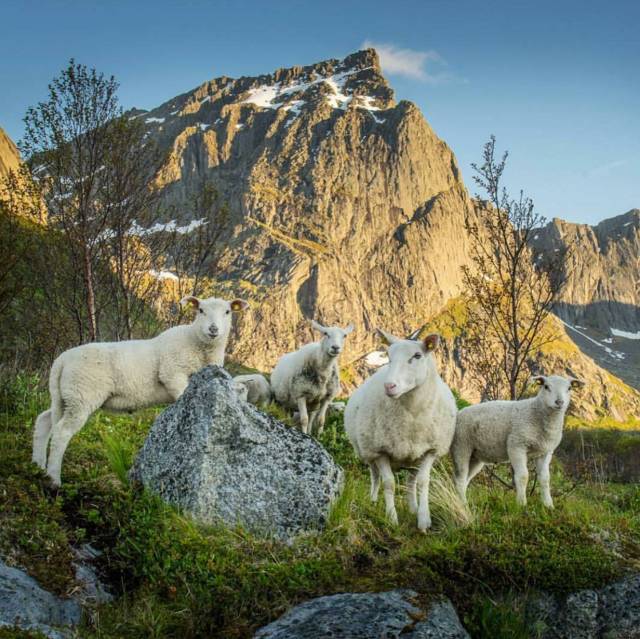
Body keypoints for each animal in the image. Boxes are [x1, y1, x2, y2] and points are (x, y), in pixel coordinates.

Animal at [31, 296, 250, 484]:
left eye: (228, 311)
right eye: (201, 310)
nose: (213, 329)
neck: (197, 344)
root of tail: (61, 360)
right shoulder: (173, 374)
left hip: (67, 396)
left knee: (44, 420)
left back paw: (38, 465)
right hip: (82, 394)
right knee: (61, 432)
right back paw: (54, 479)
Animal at [342, 330, 458, 528]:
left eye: (417, 356)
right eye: (388, 356)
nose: (389, 386)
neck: (412, 416)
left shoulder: (431, 450)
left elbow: (423, 482)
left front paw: (424, 519)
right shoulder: (380, 450)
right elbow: (389, 483)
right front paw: (391, 518)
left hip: (414, 456)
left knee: (411, 481)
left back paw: (413, 508)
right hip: (367, 450)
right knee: (375, 476)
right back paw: (373, 501)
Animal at [452, 376, 584, 510]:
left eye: (569, 388)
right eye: (546, 386)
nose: (559, 402)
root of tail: (459, 412)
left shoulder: (545, 452)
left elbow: (545, 479)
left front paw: (548, 505)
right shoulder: (516, 445)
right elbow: (523, 476)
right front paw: (521, 504)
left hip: (476, 456)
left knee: (465, 479)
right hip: (461, 446)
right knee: (460, 479)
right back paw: (463, 504)